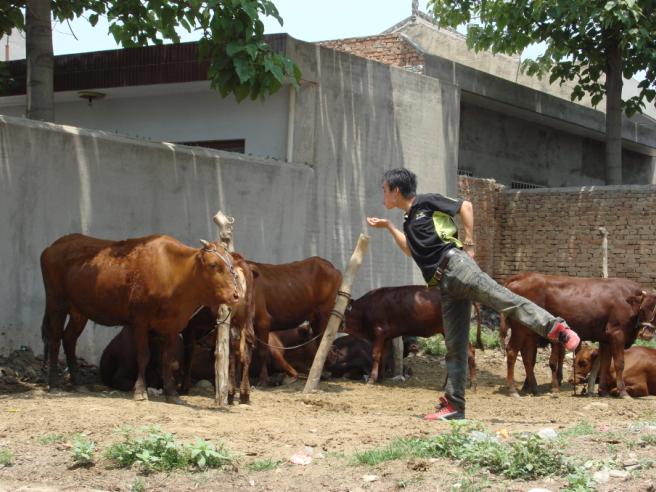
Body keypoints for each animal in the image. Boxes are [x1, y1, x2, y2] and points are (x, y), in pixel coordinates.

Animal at [38, 234, 240, 404]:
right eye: (213, 264)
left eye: (231, 265)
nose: (235, 295)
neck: (174, 274)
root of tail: (54, 245)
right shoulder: (140, 321)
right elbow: (143, 356)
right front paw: (141, 391)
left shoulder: (172, 326)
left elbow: (167, 359)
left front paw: (172, 393)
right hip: (56, 302)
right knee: (55, 339)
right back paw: (54, 384)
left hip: (79, 311)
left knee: (69, 339)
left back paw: (78, 383)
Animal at [344, 286, 476, 386]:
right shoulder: (386, 337)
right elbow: (384, 356)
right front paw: (381, 378)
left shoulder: (378, 333)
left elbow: (376, 355)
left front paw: (372, 379)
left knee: (467, 352)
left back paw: (470, 384)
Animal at [502, 274, 656, 398]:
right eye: (643, 308)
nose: (647, 333)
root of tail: (523, 277)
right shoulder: (617, 334)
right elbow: (619, 363)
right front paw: (623, 392)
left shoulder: (606, 338)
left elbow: (605, 364)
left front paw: (603, 391)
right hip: (520, 329)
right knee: (512, 352)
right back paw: (513, 390)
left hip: (530, 333)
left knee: (528, 359)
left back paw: (534, 389)